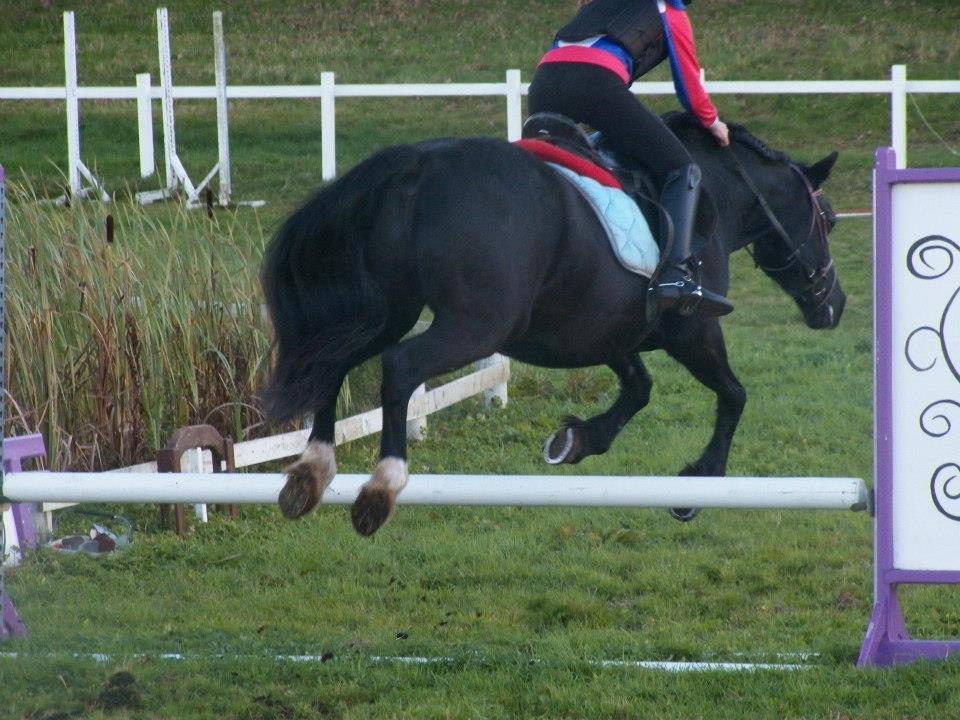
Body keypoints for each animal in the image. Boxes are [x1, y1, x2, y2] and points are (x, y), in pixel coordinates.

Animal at [260, 112, 846, 536]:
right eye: (829, 220)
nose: (834, 307)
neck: (717, 194)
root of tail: (416, 164)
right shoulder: (692, 331)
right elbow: (733, 395)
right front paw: (698, 484)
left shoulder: (605, 330)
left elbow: (640, 387)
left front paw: (578, 439)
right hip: (477, 326)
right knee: (400, 366)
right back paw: (381, 487)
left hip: (385, 311)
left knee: (332, 361)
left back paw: (311, 472)